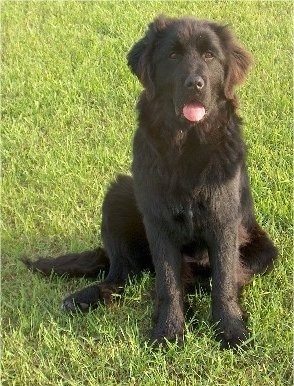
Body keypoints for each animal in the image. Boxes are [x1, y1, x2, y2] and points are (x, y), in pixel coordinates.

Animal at [23, 15, 278, 350]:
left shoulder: (223, 220)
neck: (186, 146)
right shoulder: (158, 224)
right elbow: (168, 283)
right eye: (173, 56)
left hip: (263, 250)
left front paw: (231, 330)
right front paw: (169, 331)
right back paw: (87, 297)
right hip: (118, 195)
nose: (195, 84)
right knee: (122, 273)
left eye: (210, 56)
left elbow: (223, 280)